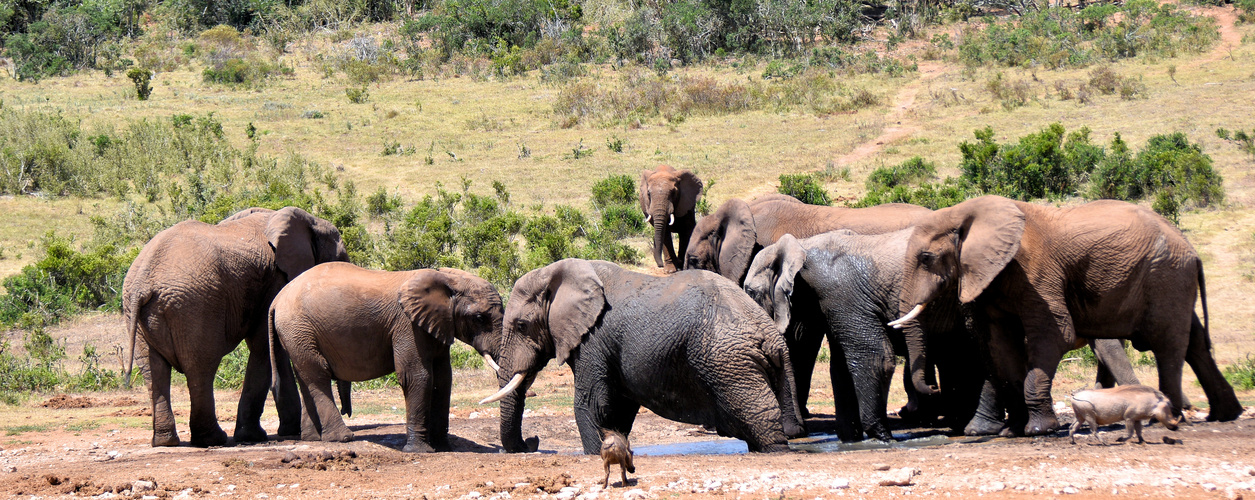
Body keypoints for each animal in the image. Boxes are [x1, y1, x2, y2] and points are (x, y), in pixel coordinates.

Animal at [122, 204, 348, 447]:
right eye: (340, 258)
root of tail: (142, 282)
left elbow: (272, 346)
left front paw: (289, 430)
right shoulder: (274, 279)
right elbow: (265, 346)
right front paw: (254, 436)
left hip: (140, 314)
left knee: (153, 369)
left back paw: (166, 441)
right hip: (195, 307)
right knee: (200, 367)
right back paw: (213, 439)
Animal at [271, 263, 504, 452]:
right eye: (479, 318)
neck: (447, 280)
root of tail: (277, 298)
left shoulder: (436, 324)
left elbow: (443, 378)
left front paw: (443, 448)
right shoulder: (407, 325)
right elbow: (416, 376)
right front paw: (420, 451)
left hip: (297, 334)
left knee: (305, 378)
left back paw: (313, 438)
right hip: (298, 327)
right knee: (318, 375)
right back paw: (342, 438)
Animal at [479, 260, 803, 454]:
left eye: (522, 326)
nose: (532, 441)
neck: (560, 271)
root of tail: (773, 337)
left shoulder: (595, 338)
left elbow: (591, 404)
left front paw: (594, 454)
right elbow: (617, 409)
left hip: (729, 364)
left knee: (761, 421)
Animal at [898, 194, 1239, 437]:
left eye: (926, 258)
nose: (935, 390)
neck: (965, 212)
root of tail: (1192, 250)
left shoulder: (1035, 274)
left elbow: (1055, 334)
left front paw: (1038, 430)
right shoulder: (993, 279)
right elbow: (1001, 345)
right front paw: (1013, 432)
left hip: (1166, 275)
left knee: (1168, 343)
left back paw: (1165, 418)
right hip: (1172, 278)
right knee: (1195, 342)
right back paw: (1224, 415)